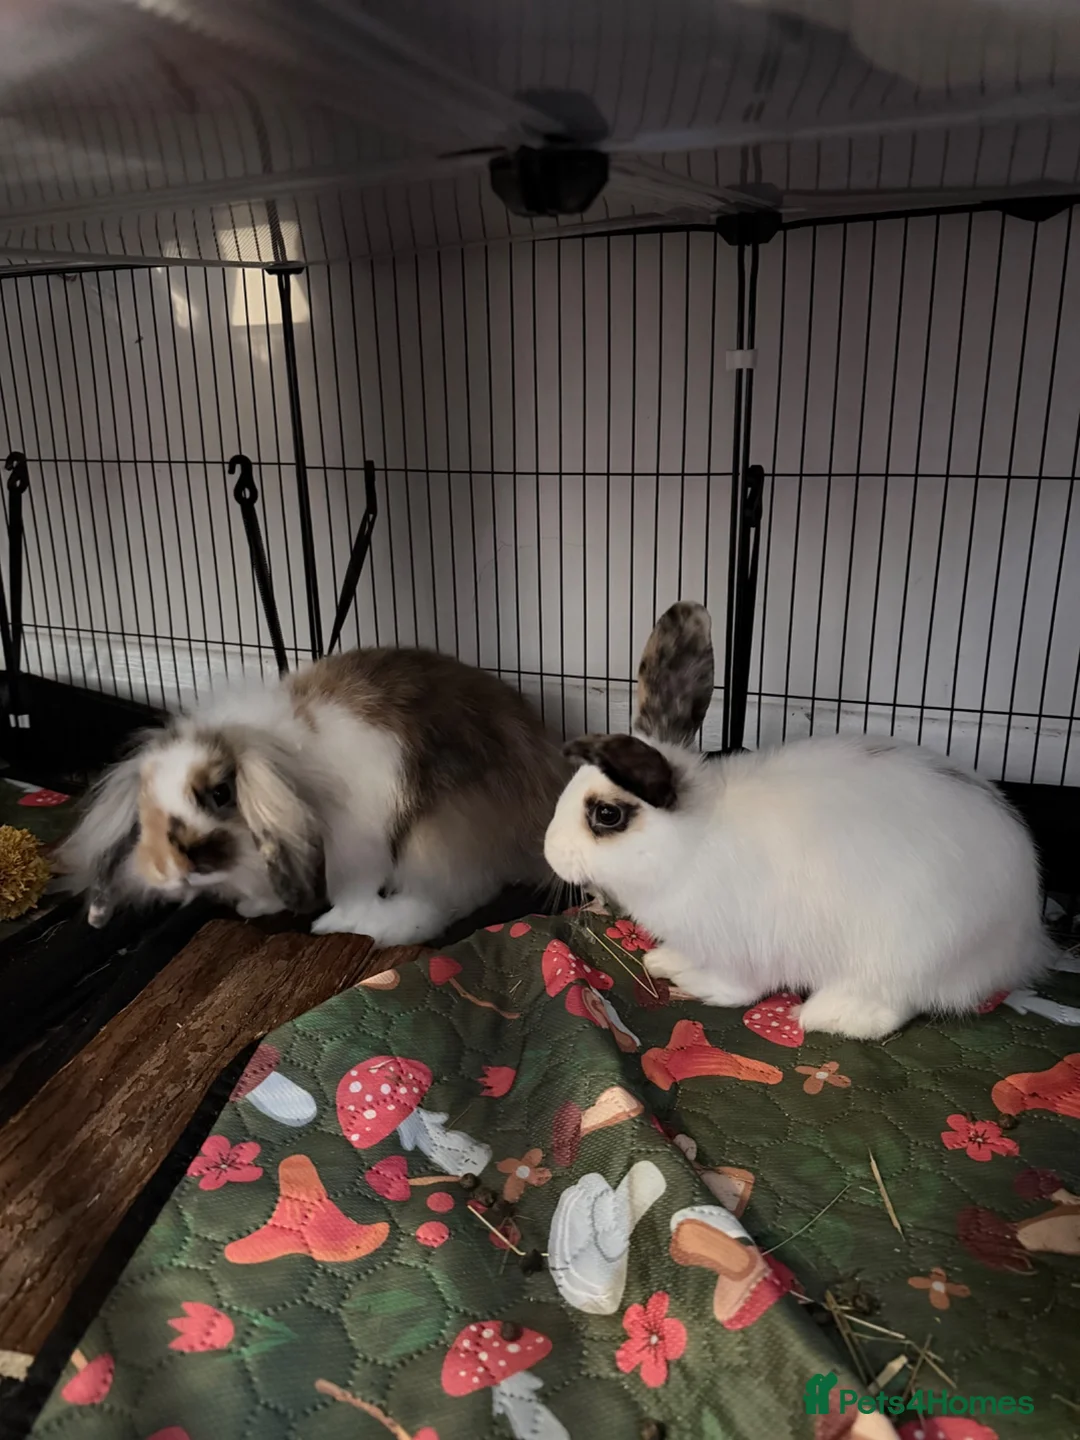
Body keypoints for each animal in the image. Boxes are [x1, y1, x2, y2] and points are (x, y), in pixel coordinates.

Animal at [59, 646, 569, 946]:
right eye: (143, 808)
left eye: (221, 793)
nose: (170, 870)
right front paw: (254, 907)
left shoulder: (358, 850)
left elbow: (356, 892)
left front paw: (334, 922)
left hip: (432, 837)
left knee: (445, 900)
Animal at [544, 600, 1048, 1039]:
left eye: (607, 814)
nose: (548, 851)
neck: (689, 844)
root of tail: (1023, 936)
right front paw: (666, 962)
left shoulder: (742, 949)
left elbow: (737, 989)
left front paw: (697, 986)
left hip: (905, 951)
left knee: (891, 1006)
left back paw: (826, 1014)